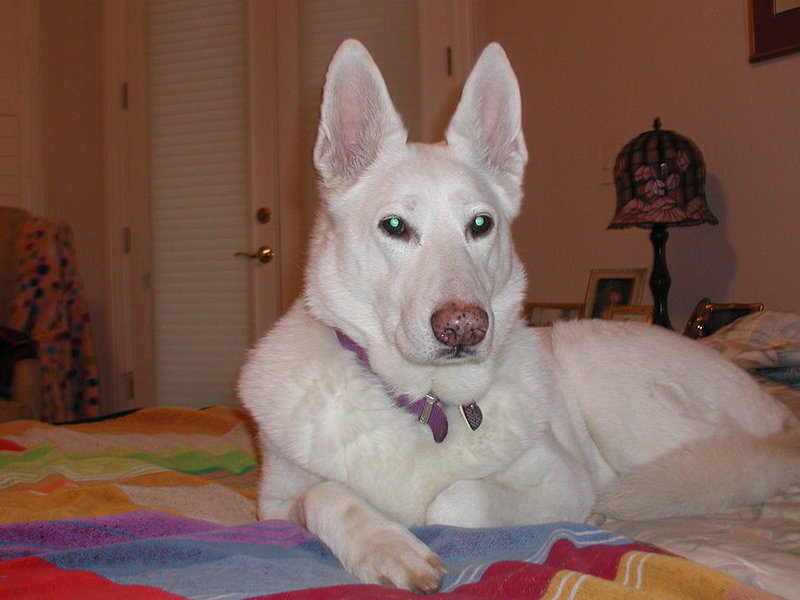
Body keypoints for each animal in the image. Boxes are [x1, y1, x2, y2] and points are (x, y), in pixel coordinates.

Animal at [239, 39, 800, 592]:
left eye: (480, 224)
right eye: (394, 226)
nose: (464, 326)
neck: (425, 402)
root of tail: (781, 420)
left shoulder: (563, 479)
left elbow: (451, 501)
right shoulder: (271, 508)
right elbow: (323, 495)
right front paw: (387, 546)